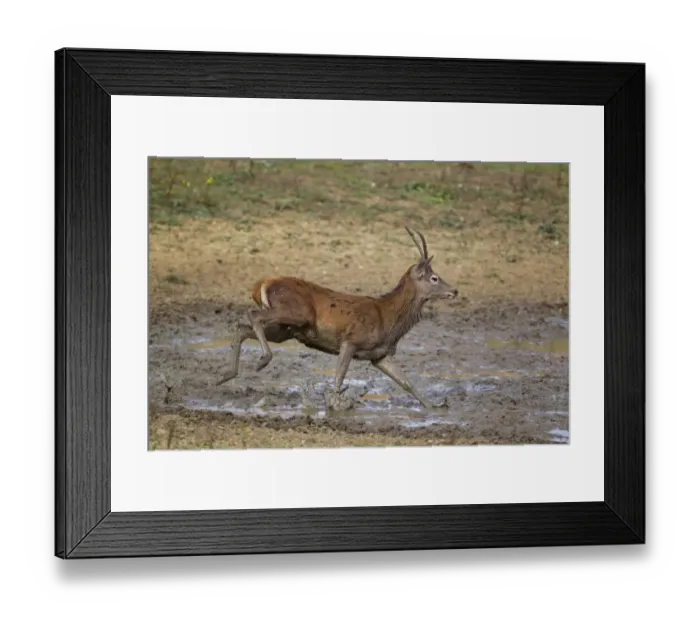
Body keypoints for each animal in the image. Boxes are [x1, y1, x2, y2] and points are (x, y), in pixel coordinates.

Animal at [216, 226, 459, 410]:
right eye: (434, 278)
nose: (455, 291)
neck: (388, 321)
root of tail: (262, 284)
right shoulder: (351, 339)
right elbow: (339, 375)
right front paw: (335, 404)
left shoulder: (379, 355)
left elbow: (407, 382)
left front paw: (435, 405)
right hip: (295, 314)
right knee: (252, 314)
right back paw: (262, 360)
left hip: (285, 329)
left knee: (242, 326)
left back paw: (226, 375)